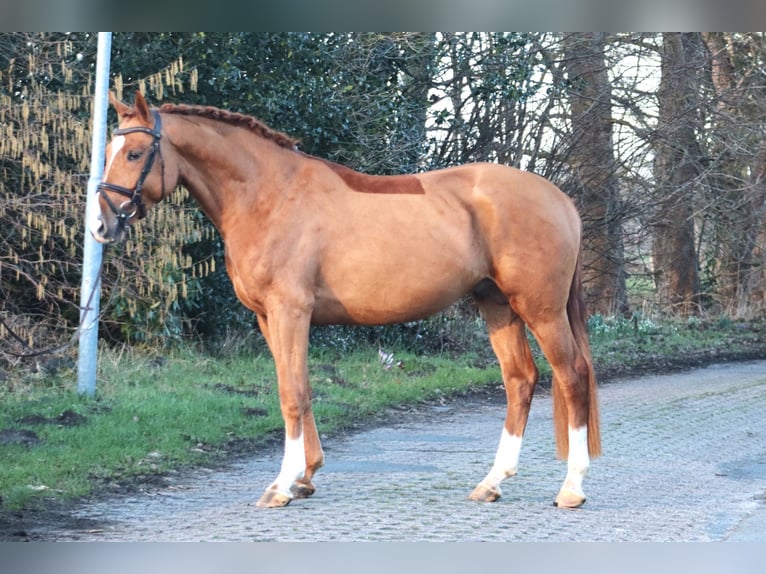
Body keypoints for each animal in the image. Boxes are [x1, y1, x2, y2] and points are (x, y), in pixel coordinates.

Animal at [93, 92, 604, 510]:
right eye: (108, 152)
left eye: (135, 153)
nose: (101, 226)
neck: (268, 196)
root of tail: (561, 199)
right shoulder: (267, 319)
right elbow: (298, 387)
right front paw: (306, 477)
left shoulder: (289, 312)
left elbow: (292, 395)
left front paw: (281, 486)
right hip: (497, 305)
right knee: (521, 380)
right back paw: (492, 482)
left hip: (540, 308)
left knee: (571, 375)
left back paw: (571, 487)